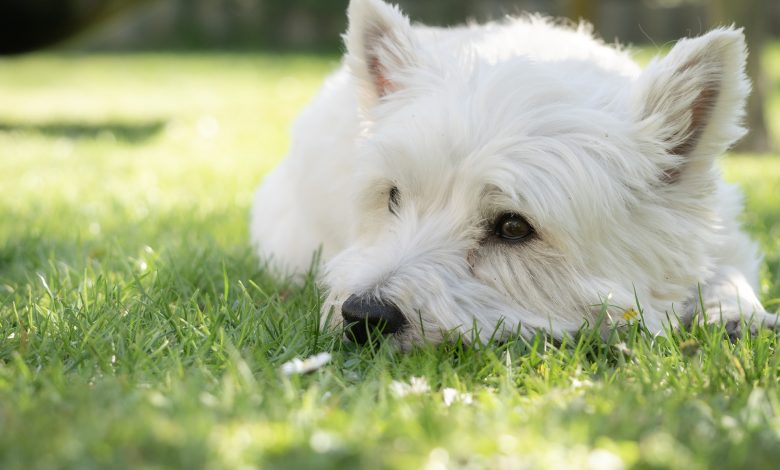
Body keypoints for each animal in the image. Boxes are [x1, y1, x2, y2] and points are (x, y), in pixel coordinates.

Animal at [253, 0, 776, 346]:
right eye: (393, 197)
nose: (363, 315)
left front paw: (738, 312)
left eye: (512, 227)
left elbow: (726, 270)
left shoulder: (722, 235)